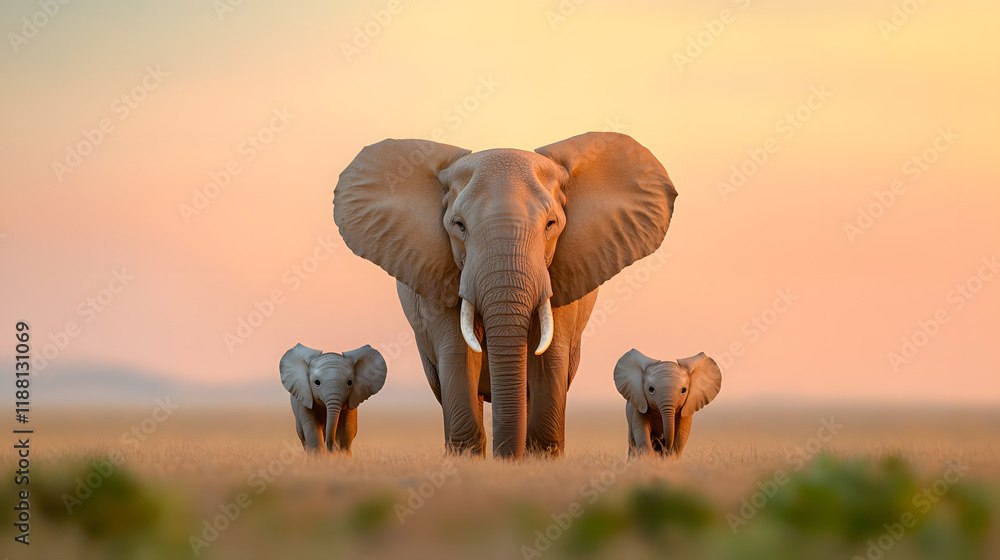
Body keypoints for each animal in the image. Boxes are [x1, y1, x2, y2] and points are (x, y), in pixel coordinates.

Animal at [334, 132, 677, 459]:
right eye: (459, 225)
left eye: (551, 224)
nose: (506, 458)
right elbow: (459, 355)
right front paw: (467, 461)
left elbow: (549, 358)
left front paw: (539, 460)